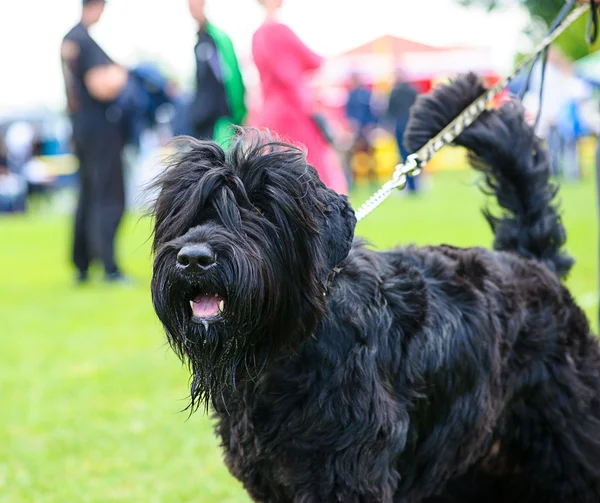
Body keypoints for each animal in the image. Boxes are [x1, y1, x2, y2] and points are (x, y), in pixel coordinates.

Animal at [149, 76, 600, 503]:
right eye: (189, 210)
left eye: (259, 209)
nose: (194, 258)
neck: (286, 349)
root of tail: (532, 263)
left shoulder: (342, 475)